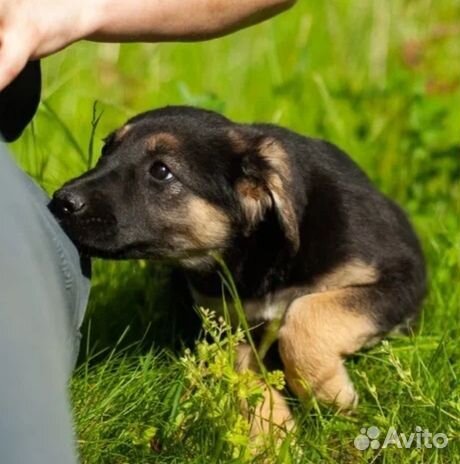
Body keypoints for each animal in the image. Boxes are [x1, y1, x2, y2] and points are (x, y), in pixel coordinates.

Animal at [49, 107, 424, 434]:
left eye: (161, 171)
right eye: (105, 149)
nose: (60, 202)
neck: (260, 252)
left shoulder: (402, 279)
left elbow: (306, 314)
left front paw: (329, 395)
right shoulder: (227, 324)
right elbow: (246, 379)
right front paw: (271, 436)